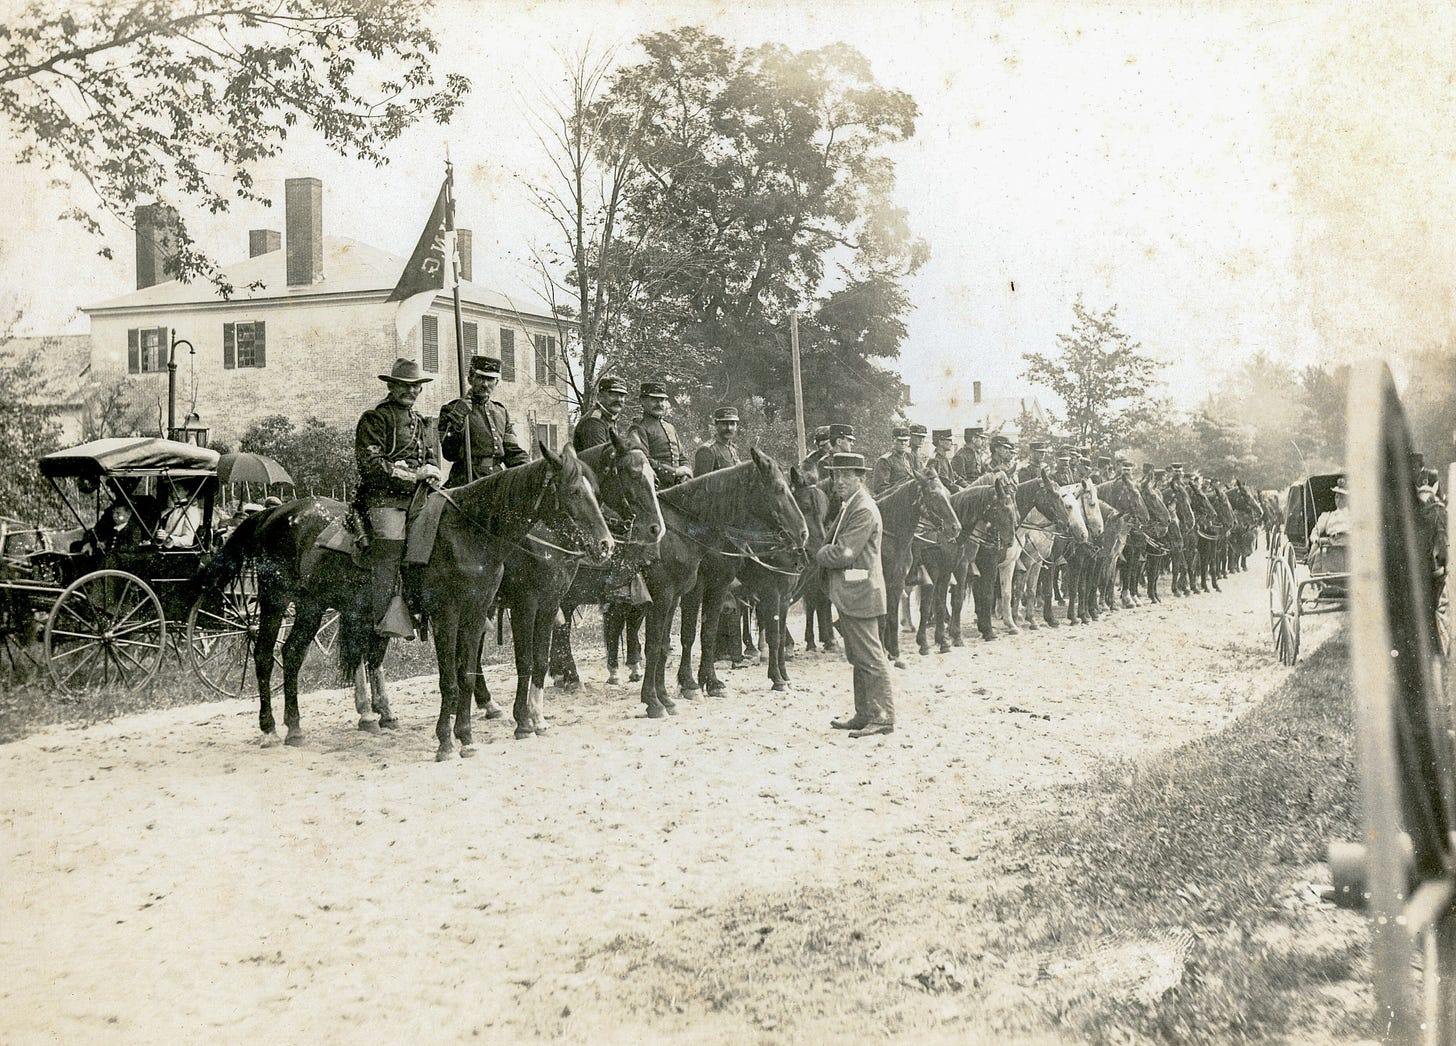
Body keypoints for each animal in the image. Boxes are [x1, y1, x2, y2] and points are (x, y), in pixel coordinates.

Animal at [643, 451, 809, 722]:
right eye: (779, 488)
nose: (802, 534)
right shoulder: (699, 590)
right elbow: (690, 635)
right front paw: (690, 684)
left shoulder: (724, 589)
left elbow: (709, 633)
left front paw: (711, 682)